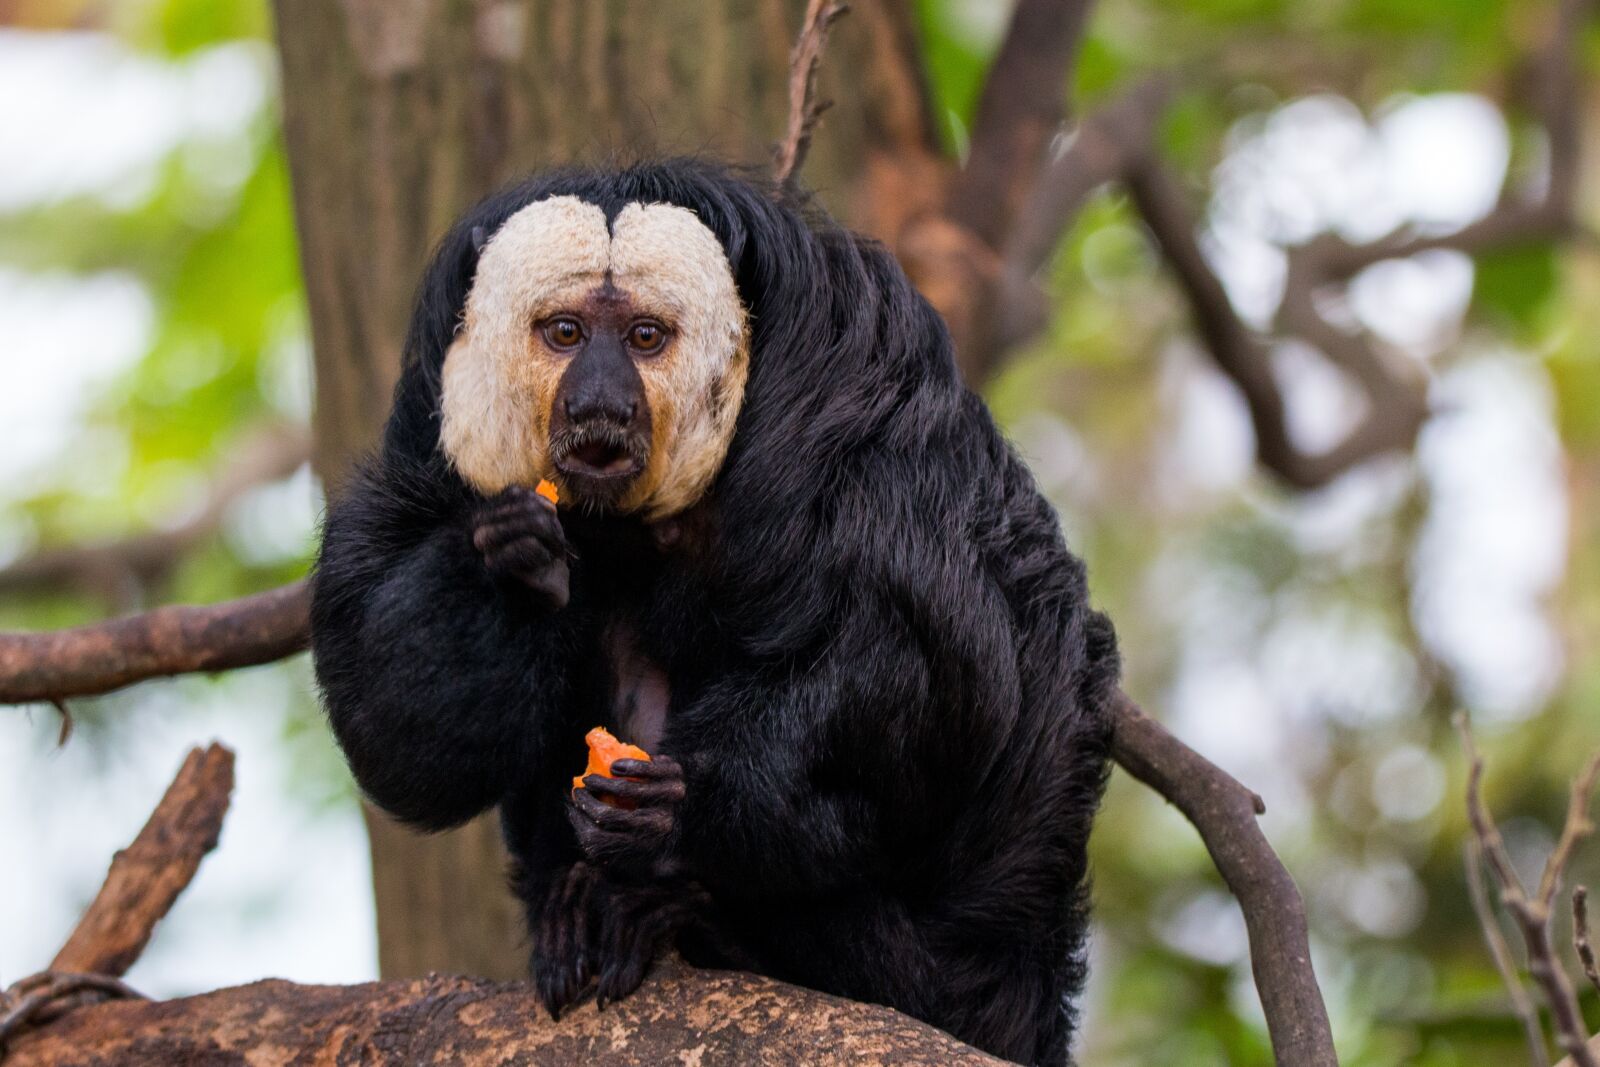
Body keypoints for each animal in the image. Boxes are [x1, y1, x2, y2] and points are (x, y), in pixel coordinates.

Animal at [310, 159, 1119, 1066]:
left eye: (644, 337)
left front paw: (676, 810)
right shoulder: (426, 430)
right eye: (564, 333)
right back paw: (579, 905)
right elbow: (403, 732)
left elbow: (939, 662)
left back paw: (680, 909)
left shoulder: (860, 409)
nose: (598, 405)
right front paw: (514, 561)